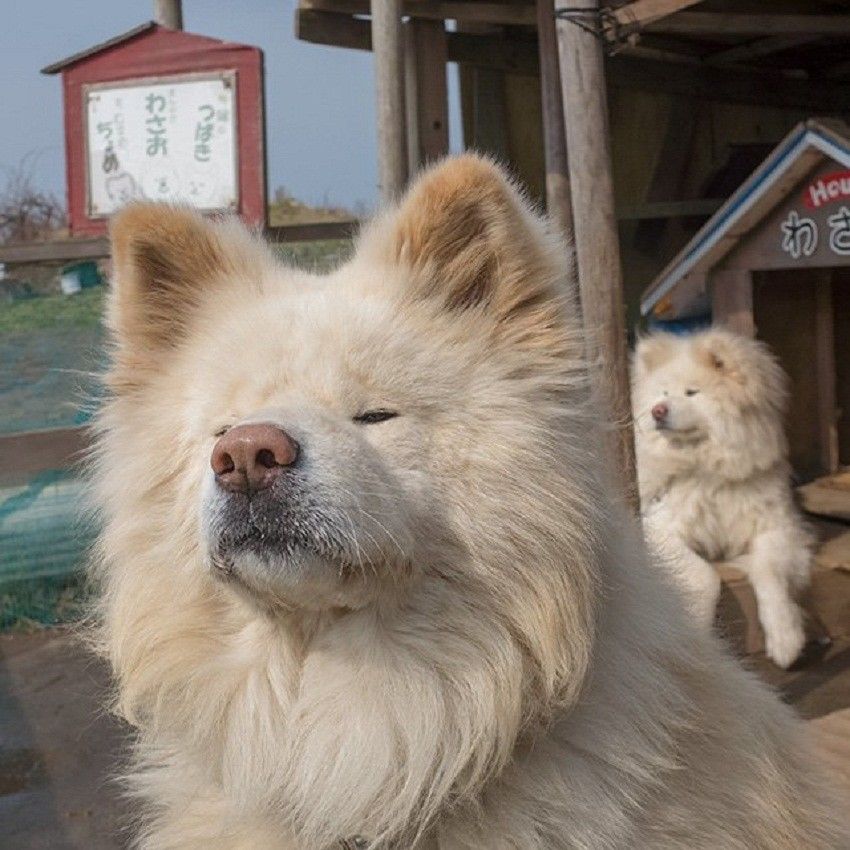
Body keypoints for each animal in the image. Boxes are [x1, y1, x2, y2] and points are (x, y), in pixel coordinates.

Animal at [632, 328, 812, 664]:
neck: (709, 473)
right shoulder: (657, 528)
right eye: (663, 393)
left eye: (692, 392)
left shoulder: (776, 528)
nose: (657, 411)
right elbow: (705, 577)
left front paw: (786, 638)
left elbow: (771, 574)